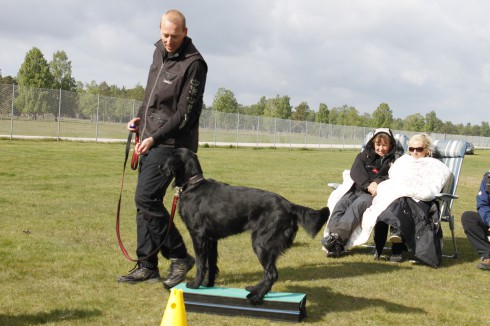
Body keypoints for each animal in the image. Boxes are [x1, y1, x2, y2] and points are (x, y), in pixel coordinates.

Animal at [161, 149, 330, 304]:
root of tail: (289, 205)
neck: (193, 186)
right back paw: (255, 289)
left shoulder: (198, 236)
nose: (159, 166)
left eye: (169, 156)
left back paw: (256, 297)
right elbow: (211, 264)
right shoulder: (211, 240)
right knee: (268, 272)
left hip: (261, 243)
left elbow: (201, 264)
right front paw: (208, 284)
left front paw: (195, 284)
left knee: (272, 273)